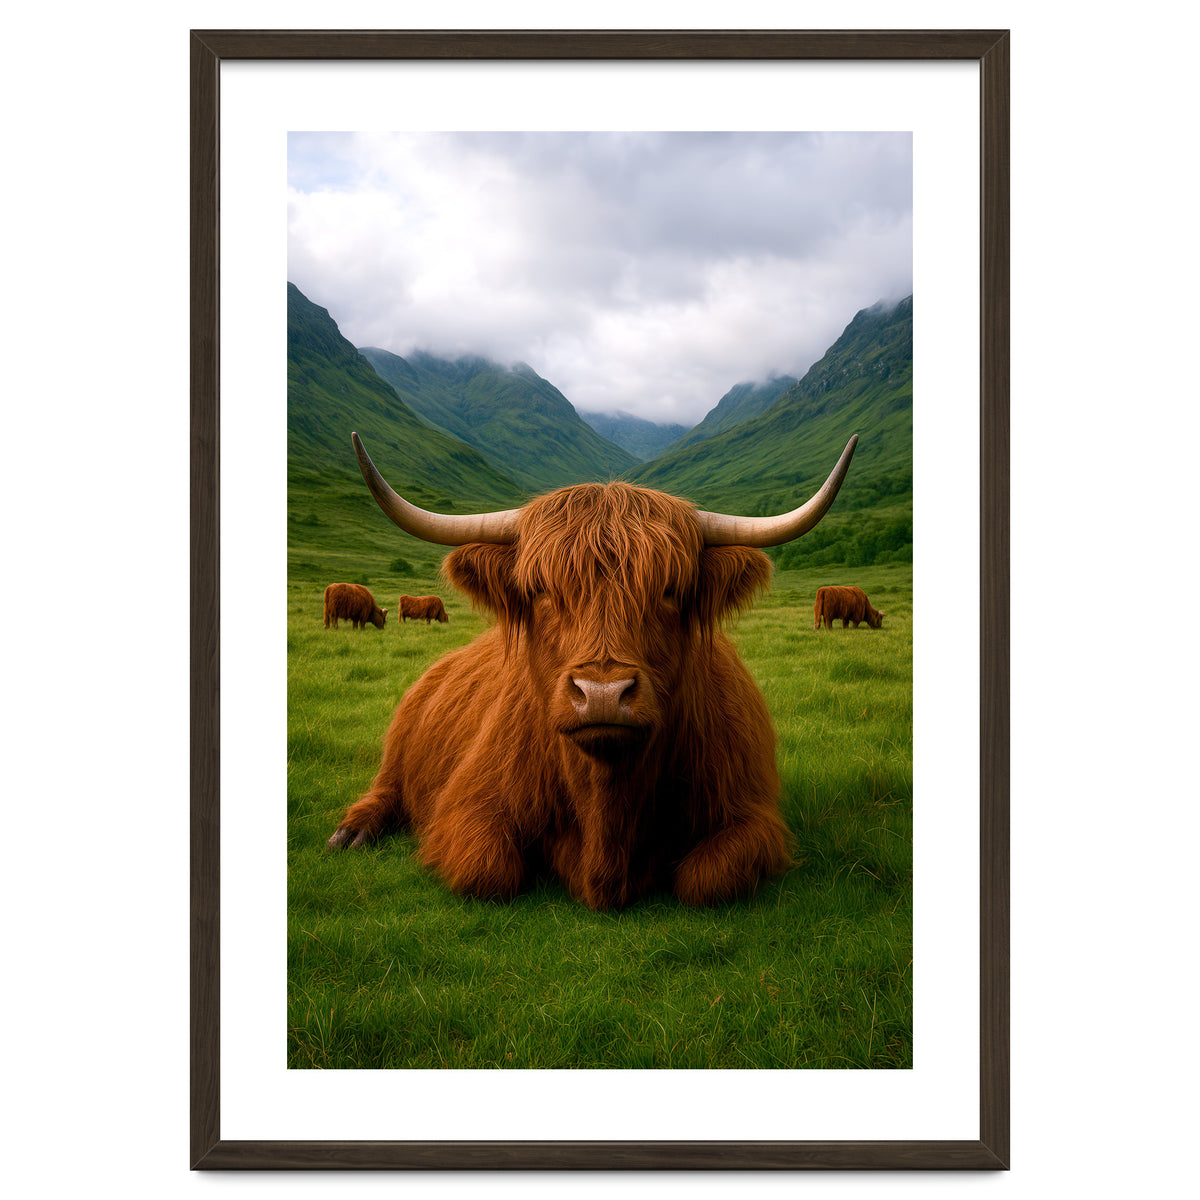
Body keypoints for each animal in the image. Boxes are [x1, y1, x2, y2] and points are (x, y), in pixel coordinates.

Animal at [328, 431, 858, 910]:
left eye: (670, 590)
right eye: (541, 590)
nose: (602, 693)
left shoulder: (751, 816)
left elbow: (706, 880)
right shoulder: (467, 805)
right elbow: (489, 871)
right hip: (399, 745)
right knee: (386, 788)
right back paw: (351, 832)